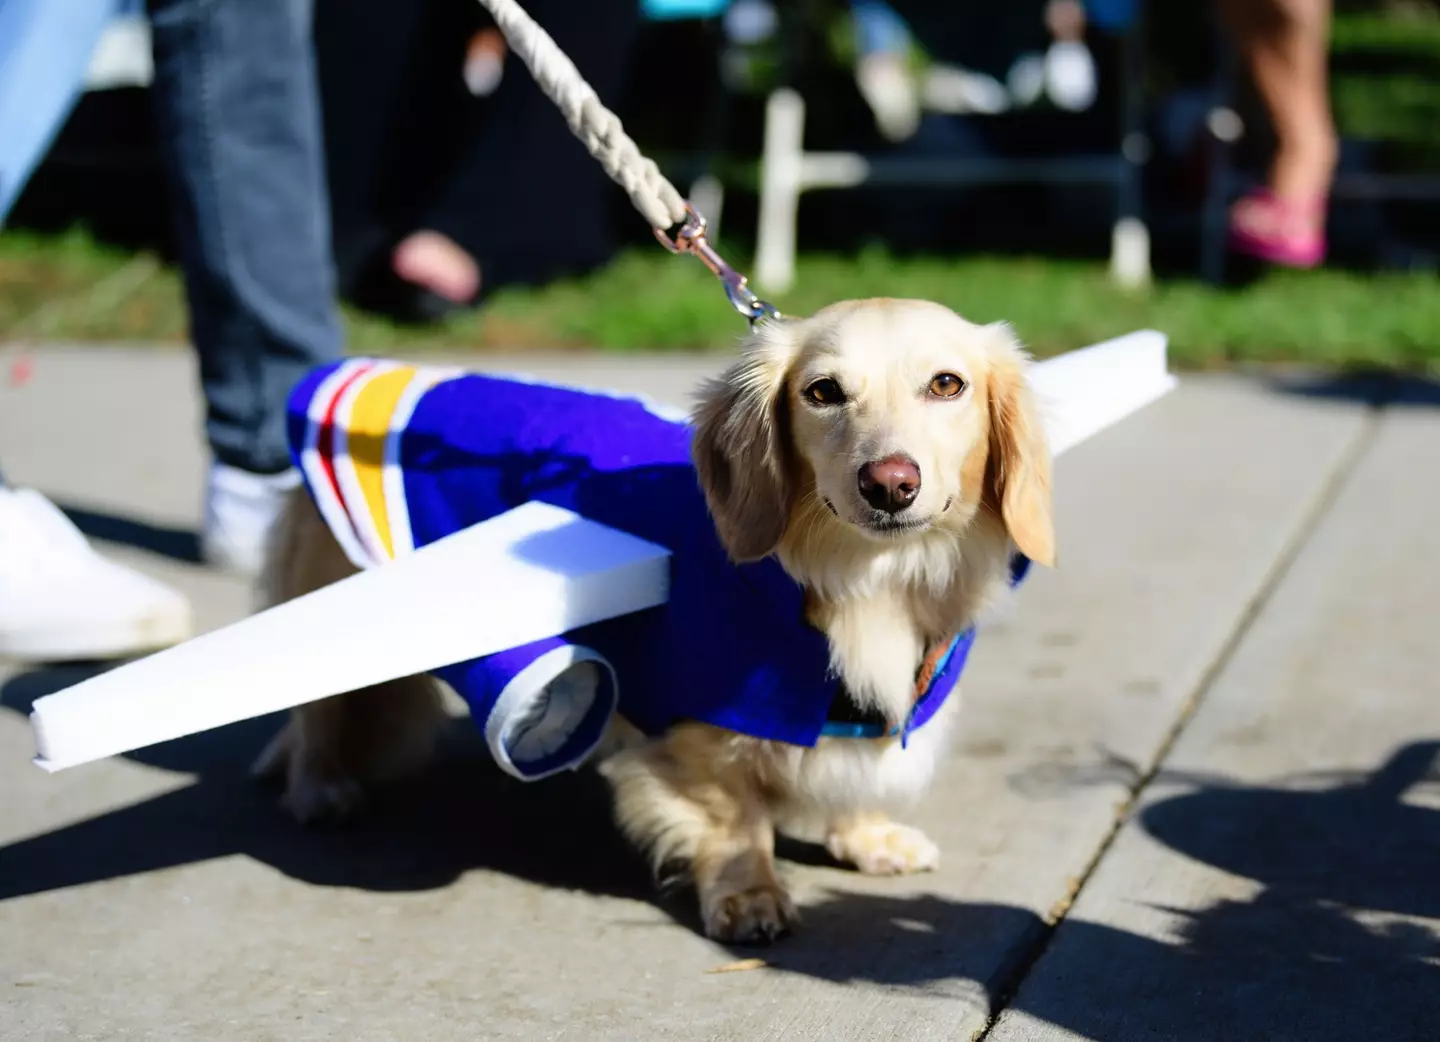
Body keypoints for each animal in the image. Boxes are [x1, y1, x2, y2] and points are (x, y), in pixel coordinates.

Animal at [256, 299, 1059, 944]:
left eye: (947, 384)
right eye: (823, 392)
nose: (890, 483)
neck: (872, 581)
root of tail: (350, 374)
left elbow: (857, 777)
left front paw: (869, 839)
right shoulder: (695, 741)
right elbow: (737, 824)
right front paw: (750, 898)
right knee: (316, 717)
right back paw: (320, 788)